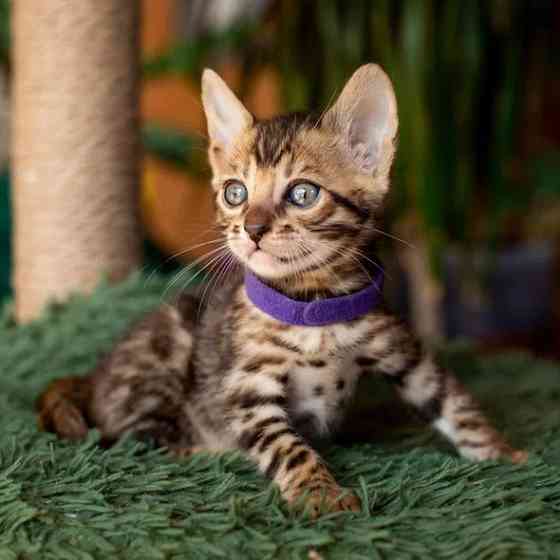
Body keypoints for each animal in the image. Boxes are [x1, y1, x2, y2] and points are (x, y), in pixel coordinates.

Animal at [37, 64, 528, 516]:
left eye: (303, 194)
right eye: (235, 193)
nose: (252, 229)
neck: (311, 305)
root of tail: (93, 377)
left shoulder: (401, 347)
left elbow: (451, 399)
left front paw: (502, 453)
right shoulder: (247, 388)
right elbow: (285, 446)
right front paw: (320, 492)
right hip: (165, 357)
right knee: (137, 440)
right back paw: (208, 451)